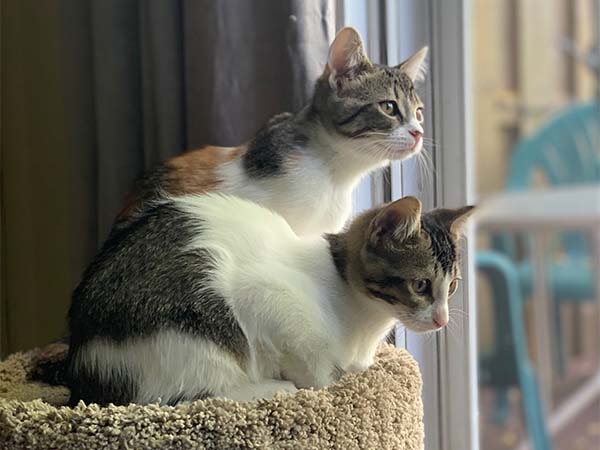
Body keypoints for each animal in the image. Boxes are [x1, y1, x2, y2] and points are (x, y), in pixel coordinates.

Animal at [65, 195, 474, 406]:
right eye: (421, 285)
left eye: (452, 285)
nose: (441, 319)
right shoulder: (271, 299)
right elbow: (313, 369)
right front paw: (321, 383)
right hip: (199, 316)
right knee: (188, 396)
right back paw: (270, 388)